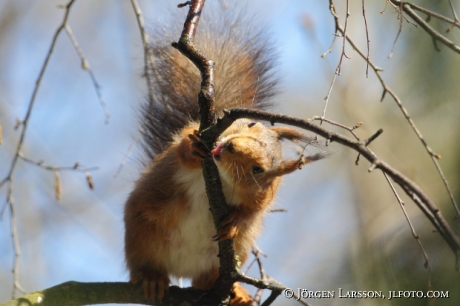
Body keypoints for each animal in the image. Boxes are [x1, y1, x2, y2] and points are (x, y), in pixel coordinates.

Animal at [123, 5, 324, 304]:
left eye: (257, 170)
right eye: (250, 124)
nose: (229, 146)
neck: (222, 176)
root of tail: (182, 271)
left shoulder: (261, 196)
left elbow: (252, 210)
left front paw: (234, 221)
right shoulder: (190, 138)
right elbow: (181, 150)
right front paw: (194, 149)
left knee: (205, 280)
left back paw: (233, 290)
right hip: (141, 235)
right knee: (143, 264)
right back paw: (151, 278)